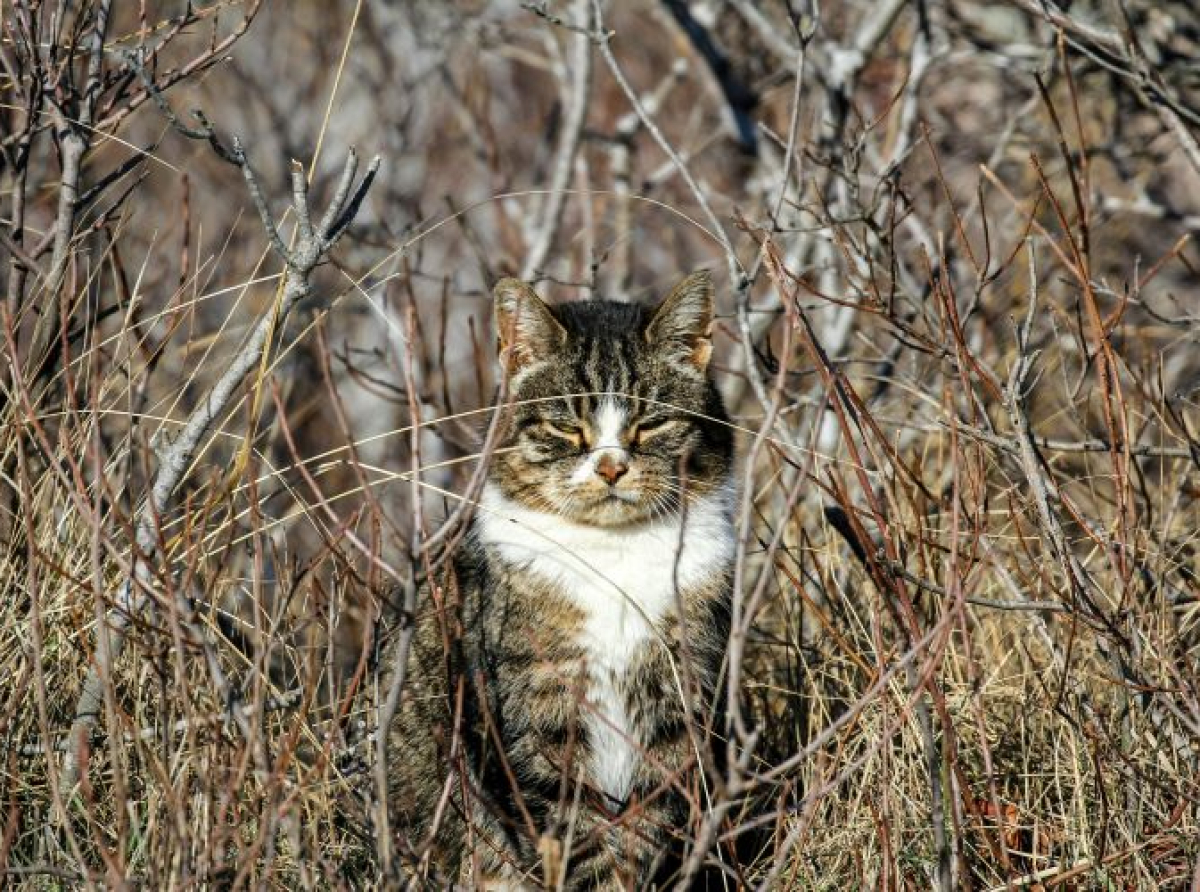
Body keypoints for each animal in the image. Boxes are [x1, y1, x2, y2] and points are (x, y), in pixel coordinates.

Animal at [388, 272, 734, 892]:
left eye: (651, 423)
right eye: (567, 427)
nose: (612, 467)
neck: (614, 557)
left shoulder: (676, 711)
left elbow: (646, 831)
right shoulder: (535, 722)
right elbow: (575, 839)